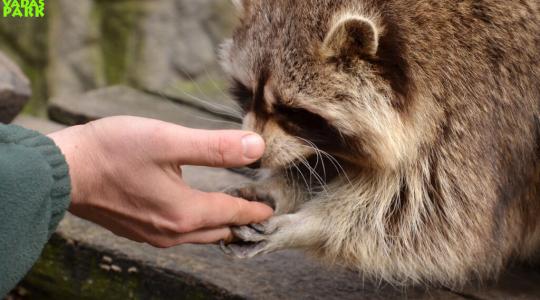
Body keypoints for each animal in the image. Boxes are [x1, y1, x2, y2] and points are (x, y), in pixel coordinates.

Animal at [219, 0, 540, 286]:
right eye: (247, 92)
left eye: (293, 111)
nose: (254, 160)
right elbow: (325, 161)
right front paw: (278, 187)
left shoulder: (476, 111)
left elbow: (433, 223)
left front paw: (307, 225)